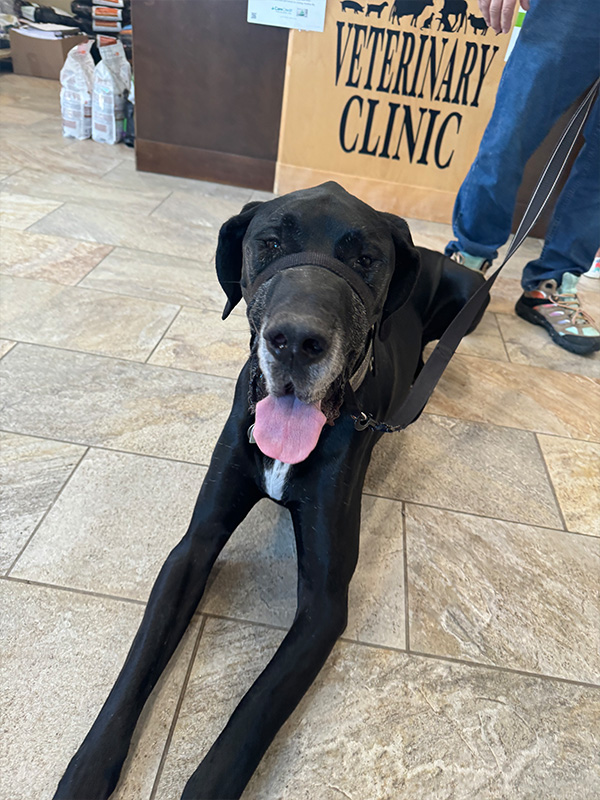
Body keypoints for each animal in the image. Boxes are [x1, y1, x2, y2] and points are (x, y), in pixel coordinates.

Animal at [54, 183, 488, 800]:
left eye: (365, 259)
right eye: (271, 244)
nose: (297, 342)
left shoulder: (325, 604)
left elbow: (253, 714)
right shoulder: (193, 546)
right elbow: (137, 665)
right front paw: (88, 770)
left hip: (472, 299)